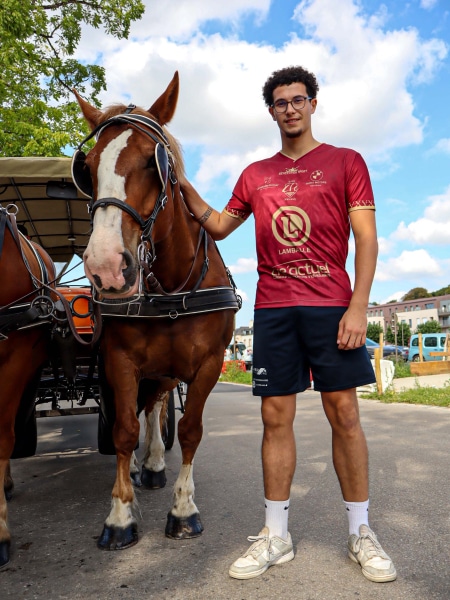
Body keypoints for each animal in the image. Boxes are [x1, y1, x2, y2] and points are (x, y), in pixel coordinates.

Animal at [72, 71, 240, 550]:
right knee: (139, 411)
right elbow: (123, 430)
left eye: (154, 162)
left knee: (158, 404)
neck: (171, 284)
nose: (106, 266)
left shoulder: (208, 364)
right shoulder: (118, 360)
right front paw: (119, 516)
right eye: (88, 168)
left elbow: (189, 430)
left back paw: (154, 464)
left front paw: (183, 509)